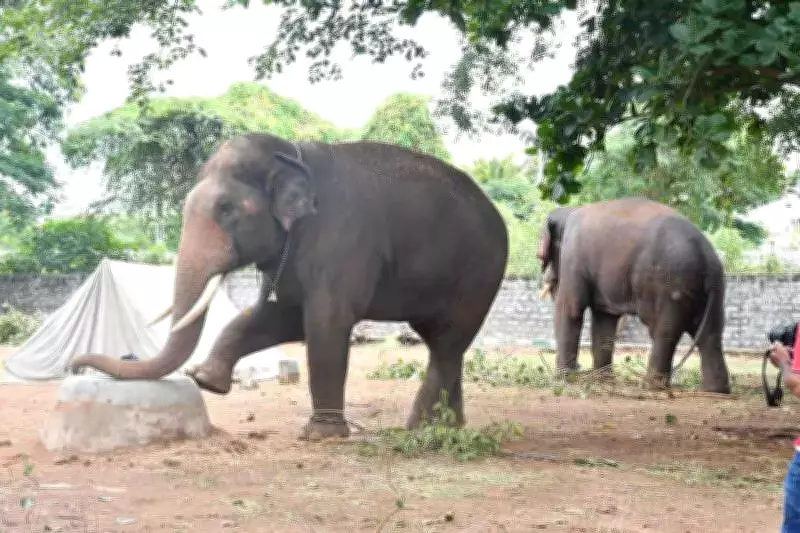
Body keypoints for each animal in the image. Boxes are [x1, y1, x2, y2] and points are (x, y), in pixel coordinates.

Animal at [70, 133, 509, 440]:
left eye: (226, 209)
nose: (75, 365)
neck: (293, 154)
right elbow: (280, 316)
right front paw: (207, 381)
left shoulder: (341, 239)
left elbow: (326, 322)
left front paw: (322, 435)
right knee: (443, 343)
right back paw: (447, 428)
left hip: (481, 273)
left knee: (448, 342)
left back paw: (420, 429)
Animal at [536, 197, 731, 393]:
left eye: (542, 257)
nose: (579, 368)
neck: (569, 210)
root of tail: (705, 255)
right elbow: (604, 319)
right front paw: (602, 380)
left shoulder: (573, 257)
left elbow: (571, 309)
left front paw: (563, 379)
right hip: (712, 289)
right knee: (710, 332)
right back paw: (714, 390)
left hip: (669, 283)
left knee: (665, 330)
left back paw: (650, 385)